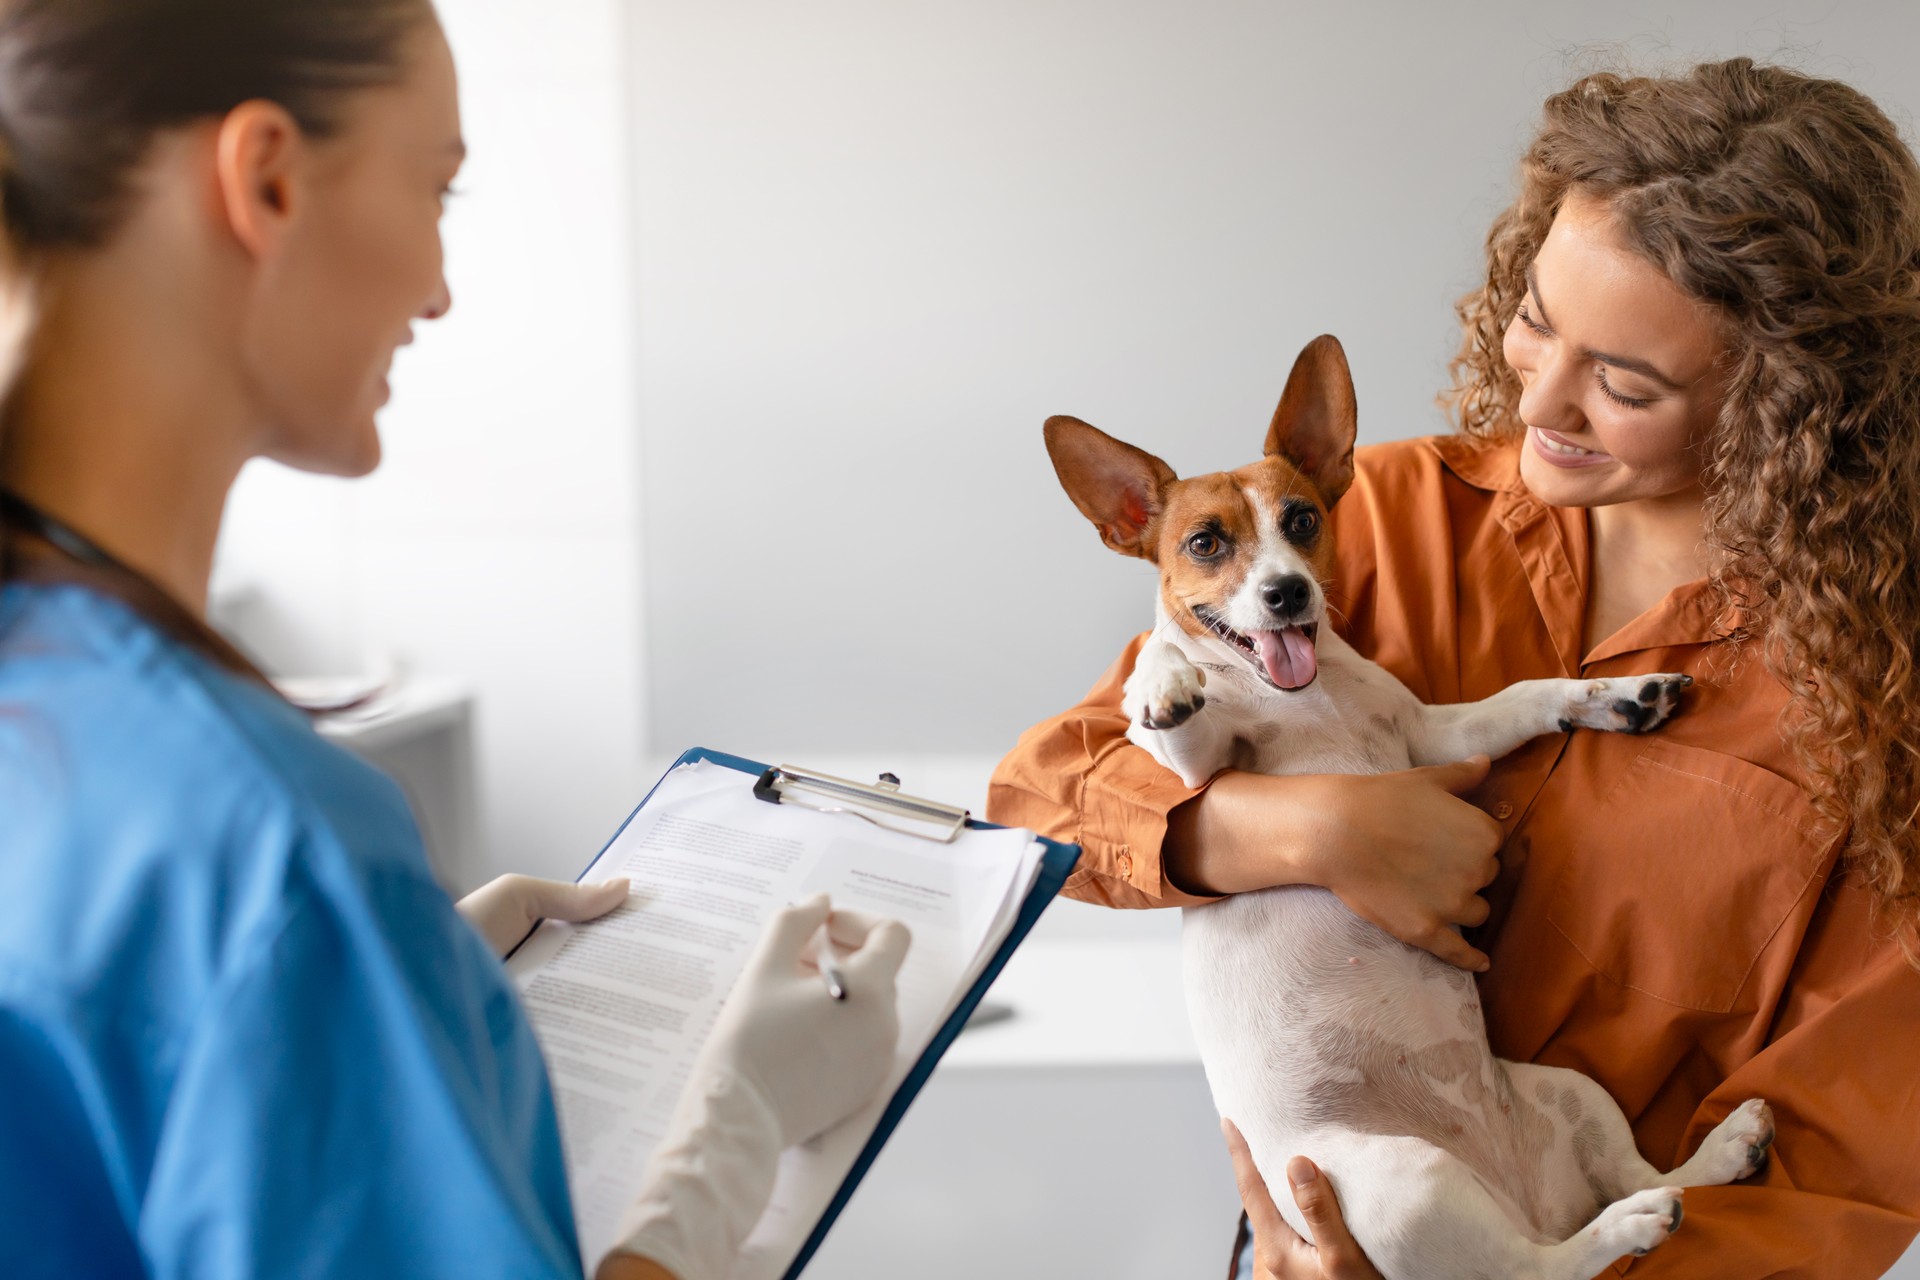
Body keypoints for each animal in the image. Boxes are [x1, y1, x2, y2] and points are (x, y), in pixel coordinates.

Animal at [1044, 337, 1774, 1280]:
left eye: (1303, 520)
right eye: (1205, 543)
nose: (1286, 593)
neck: (1305, 693)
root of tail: (1523, 1203)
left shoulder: (1432, 734)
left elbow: (1529, 695)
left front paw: (1616, 695)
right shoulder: (1205, 772)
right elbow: (1172, 701)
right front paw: (1162, 679)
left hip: (1570, 1091)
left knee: (1637, 1184)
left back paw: (1718, 1154)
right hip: (1406, 1184)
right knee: (1549, 1267)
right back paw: (1632, 1226)